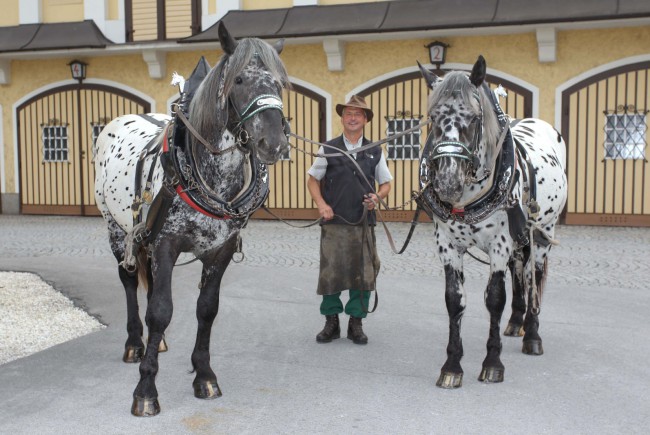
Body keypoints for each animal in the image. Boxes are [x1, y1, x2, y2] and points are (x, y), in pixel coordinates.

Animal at [93, 23, 288, 416]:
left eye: (278, 83)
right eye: (239, 79)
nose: (273, 142)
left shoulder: (220, 250)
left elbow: (206, 309)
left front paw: (204, 375)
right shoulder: (166, 243)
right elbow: (160, 310)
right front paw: (146, 389)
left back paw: (157, 343)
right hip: (117, 229)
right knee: (129, 281)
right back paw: (135, 343)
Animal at [418, 57, 564, 388]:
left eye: (473, 118)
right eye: (432, 117)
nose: (447, 184)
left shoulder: (500, 243)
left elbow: (495, 298)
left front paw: (492, 364)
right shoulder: (448, 245)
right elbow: (455, 300)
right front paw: (452, 366)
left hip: (542, 234)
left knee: (534, 276)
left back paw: (532, 335)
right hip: (520, 237)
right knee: (519, 271)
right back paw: (515, 322)